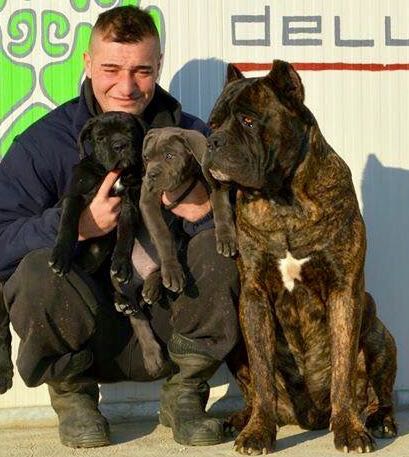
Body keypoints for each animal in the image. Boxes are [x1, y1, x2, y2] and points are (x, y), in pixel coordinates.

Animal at [49, 111, 165, 378]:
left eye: (130, 132)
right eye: (101, 137)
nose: (120, 144)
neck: (112, 174)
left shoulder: (129, 203)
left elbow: (125, 234)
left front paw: (121, 264)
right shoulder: (75, 195)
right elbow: (68, 222)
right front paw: (60, 255)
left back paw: (122, 299)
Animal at [139, 127, 236, 301]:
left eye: (169, 156)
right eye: (146, 158)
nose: (151, 175)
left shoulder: (216, 184)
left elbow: (221, 208)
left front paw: (225, 237)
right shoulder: (147, 200)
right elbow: (161, 234)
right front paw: (171, 269)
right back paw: (152, 284)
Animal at [199, 60, 397, 454]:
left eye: (248, 120)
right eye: (213, 124)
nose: (212, 142)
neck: (283, 199)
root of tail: (311, 417)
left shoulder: (343, 291)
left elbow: (343, 368)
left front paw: (350, 430)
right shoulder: (254, 296)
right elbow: (262, 377)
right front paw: (259, 432)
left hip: (378, 333)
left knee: (379, 392)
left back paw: (378, 419)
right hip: (236, 342)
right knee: (255, 391)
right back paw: (240, 419)